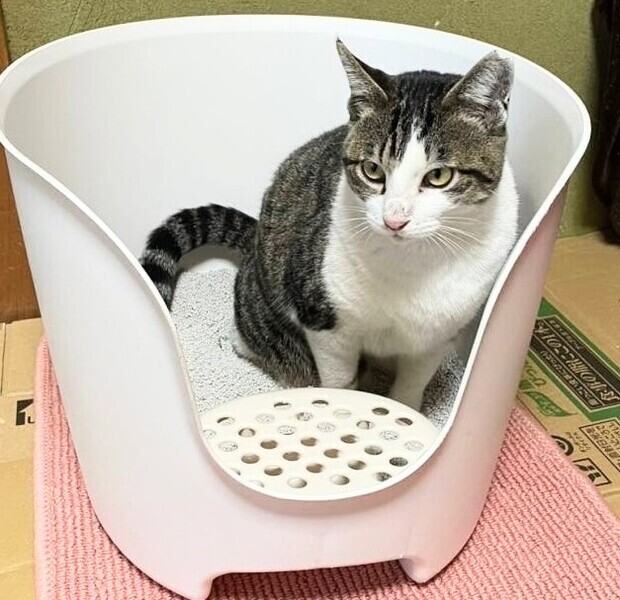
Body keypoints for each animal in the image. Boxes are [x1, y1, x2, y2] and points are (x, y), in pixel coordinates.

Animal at [140, 40, 519, 411]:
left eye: (439, 176)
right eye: (372, 170)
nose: (394, 219)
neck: (413, 266)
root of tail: (255, 238)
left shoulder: (438, 335)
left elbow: (412, 384)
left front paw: (407, 409)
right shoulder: (325, 322)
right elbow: (340, 382)